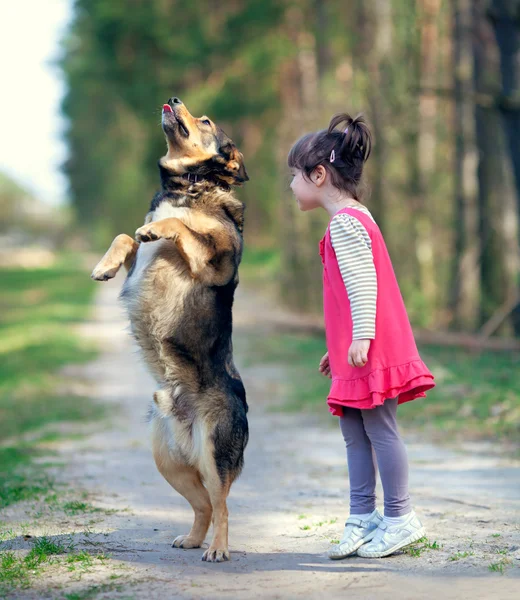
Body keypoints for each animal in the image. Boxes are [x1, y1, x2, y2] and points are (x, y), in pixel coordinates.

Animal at [90, 97, 249, 564]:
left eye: (207, 120)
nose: (175, 99)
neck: (189, 186)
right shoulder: (137, 255)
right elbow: (126, 236)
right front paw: (105, 265)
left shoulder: (219, 263)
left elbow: (178, 227)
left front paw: (157, 228)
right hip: (167, 460)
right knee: (204, 506)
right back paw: (195, 539)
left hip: (213, 454)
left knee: (223, 506)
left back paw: (217, 549)